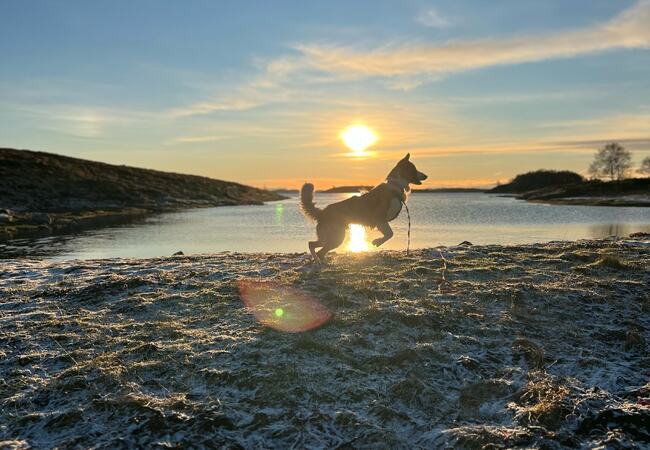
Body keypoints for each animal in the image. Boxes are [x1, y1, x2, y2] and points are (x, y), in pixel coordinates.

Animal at [298, 154, 426, 264]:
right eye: (414, 169)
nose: (426, 176)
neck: (395, 185)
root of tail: (323, 212)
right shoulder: (380, 219)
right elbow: (390, 234)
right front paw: (377, 242)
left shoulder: (382, 222)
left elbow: (389, 234)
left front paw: (377, 241)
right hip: (336, 237)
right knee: (318, 250)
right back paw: (320, 263)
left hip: (329, 237)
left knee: (312, 245)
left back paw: (320, 262)